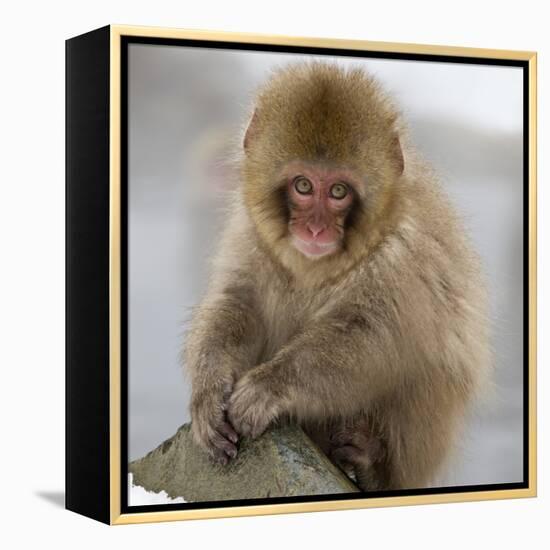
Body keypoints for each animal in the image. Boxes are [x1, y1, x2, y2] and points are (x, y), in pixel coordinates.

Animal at [184, 62, 492, 494]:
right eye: (303, 185)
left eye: (339, 191)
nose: (316, 230)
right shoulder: (251, 233)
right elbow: (238, 302)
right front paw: (209, 389)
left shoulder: (402, 255)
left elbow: (371, 338)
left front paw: (270, 386)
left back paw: (371, 463)